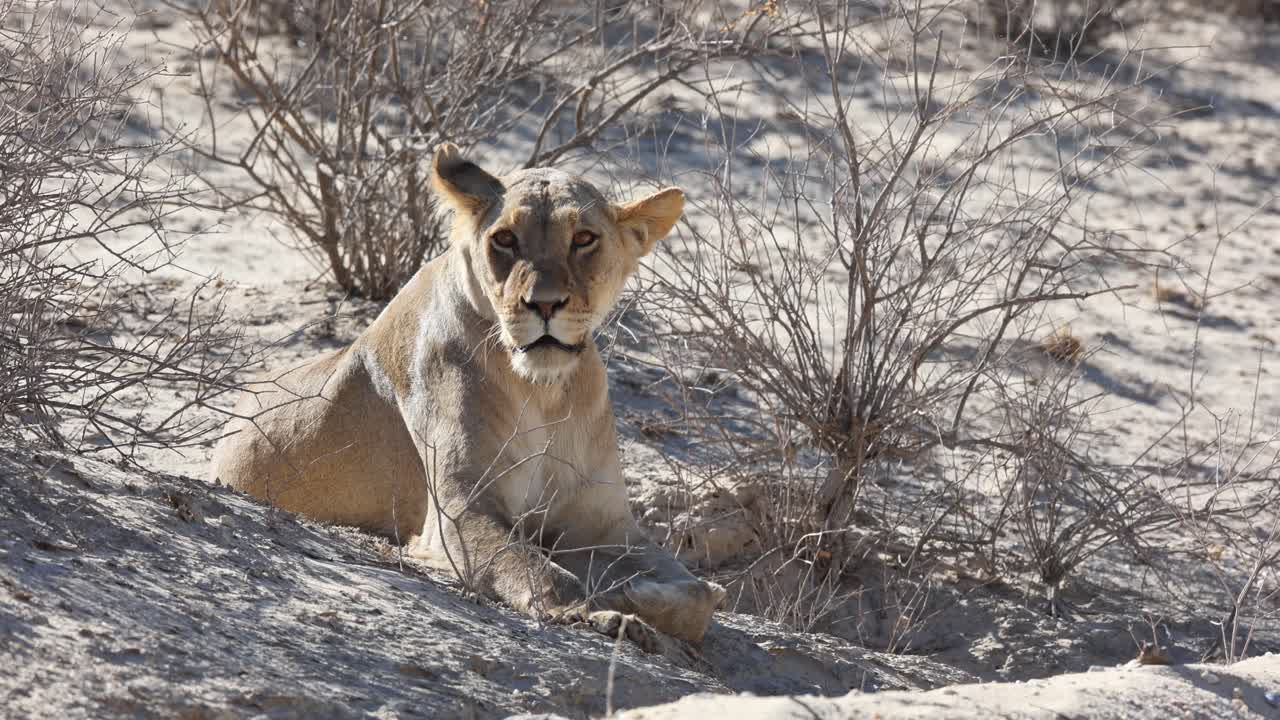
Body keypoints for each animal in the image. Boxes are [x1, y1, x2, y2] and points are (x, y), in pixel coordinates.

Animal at [210, 143, 726, 646]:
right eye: (505, 239)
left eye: (583, 239)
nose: (543, 305)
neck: (545, 392)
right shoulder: (459, 509)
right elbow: (537, 569)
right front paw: (602, 610)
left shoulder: (604, 526)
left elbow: (698, 595)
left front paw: (633, 595)